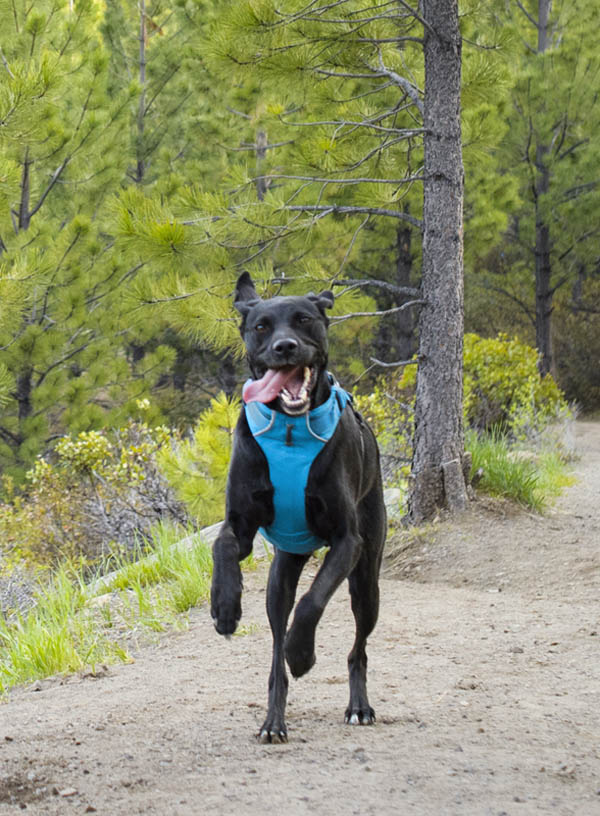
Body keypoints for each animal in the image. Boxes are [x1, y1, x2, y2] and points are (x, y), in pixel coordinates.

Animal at [211, 270, 386, 744]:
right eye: (261, 327)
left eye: (304, 319)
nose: (285, 347)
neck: (290, 430)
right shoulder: (240, 526)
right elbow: (222, 547)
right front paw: (225, 606)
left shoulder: (347, 542)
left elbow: (313, 601)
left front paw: (302, 652)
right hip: (280, 575)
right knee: (275, 655)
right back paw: (273, 721)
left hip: (367, 581)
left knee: (357, 648)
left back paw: (358, 705)